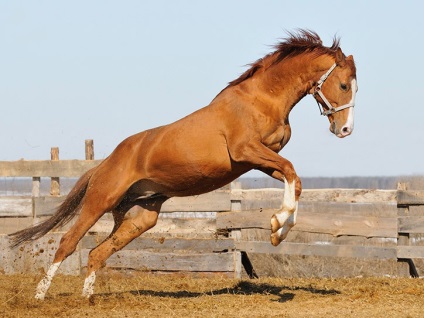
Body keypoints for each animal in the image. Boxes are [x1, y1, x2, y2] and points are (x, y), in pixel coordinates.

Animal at [8, 28, 356, 300]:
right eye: (343, 85)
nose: (345, 130)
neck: (260, 99)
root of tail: (102, 165)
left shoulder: (258, 161)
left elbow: (292, 179)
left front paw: (278, 231)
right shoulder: (247, 152)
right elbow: (291, 172)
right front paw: (276, 225)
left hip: (140, 216)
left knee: (97, 252)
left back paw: (88, 298)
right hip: (99, 202)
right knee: (68, 242)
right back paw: (40, 295)